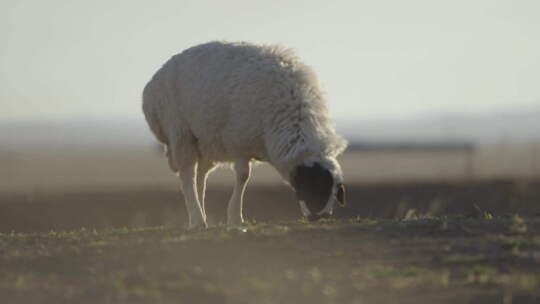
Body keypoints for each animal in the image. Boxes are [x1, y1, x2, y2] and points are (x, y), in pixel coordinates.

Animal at [141, 41, 348, 229]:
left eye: (335, 189)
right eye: (316, 184)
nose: (320, 217)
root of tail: (154, 81)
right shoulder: (239, 141)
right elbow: (243, 176)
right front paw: (235, 218)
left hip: (205, 140)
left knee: (200, 175)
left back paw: (201, 215)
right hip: (180, 131)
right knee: (187, 174)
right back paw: (197, 219)